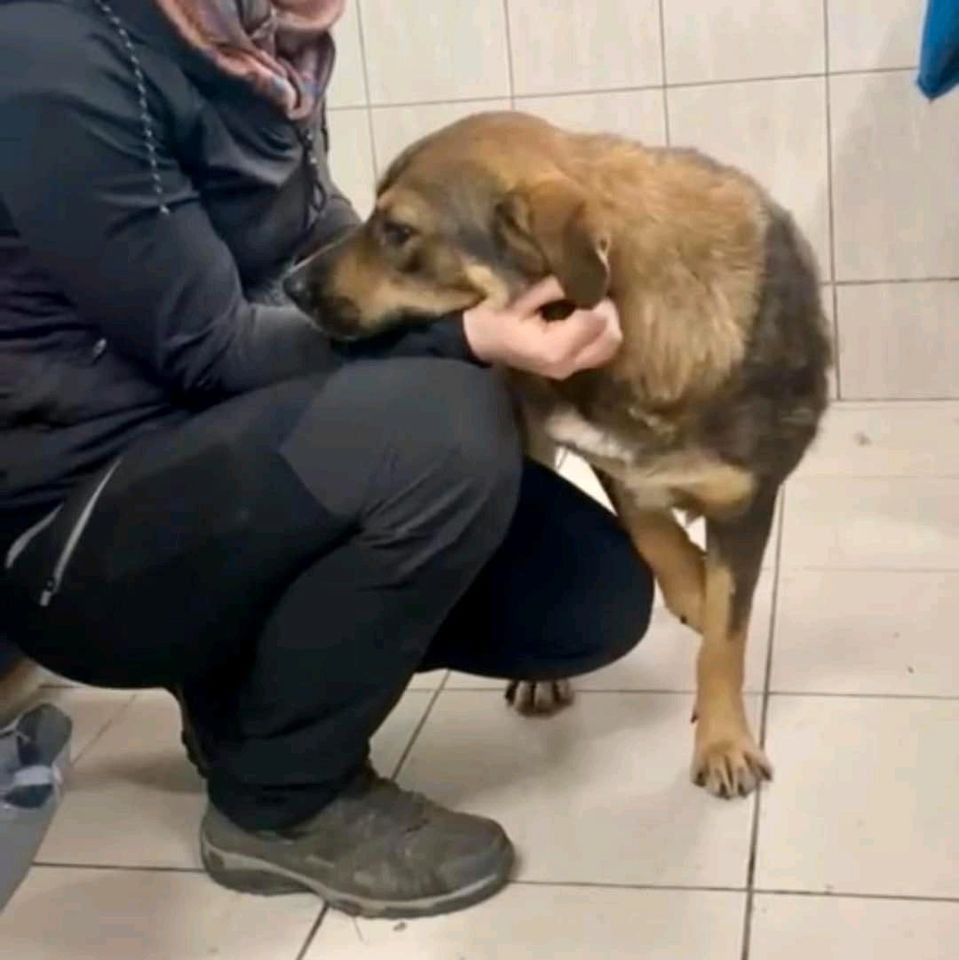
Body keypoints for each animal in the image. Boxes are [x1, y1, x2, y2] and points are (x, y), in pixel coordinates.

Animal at [284, 112, 832, 804]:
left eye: (399, 231)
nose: (289, 284)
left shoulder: (747, 500)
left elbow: (725, 634)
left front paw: (723, 739)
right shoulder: (600, 453)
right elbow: (654, 537)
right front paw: (692, 586)